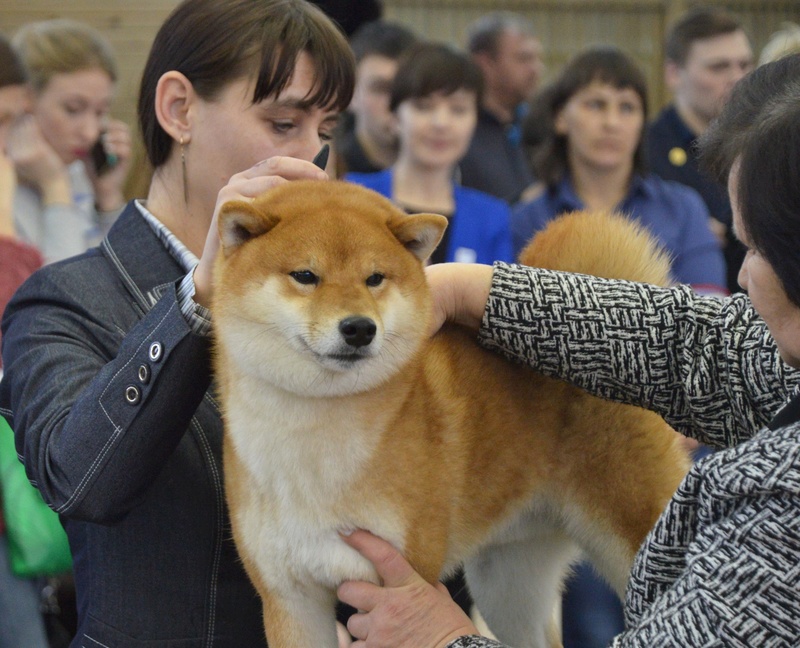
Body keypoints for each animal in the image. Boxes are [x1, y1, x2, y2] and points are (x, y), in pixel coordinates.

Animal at [214, 181, 692, 648]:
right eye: (305, 276)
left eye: (375, 279)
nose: (359, 328)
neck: (312, 436)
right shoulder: (290, 598)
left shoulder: (399, 579)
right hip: (507, 579)